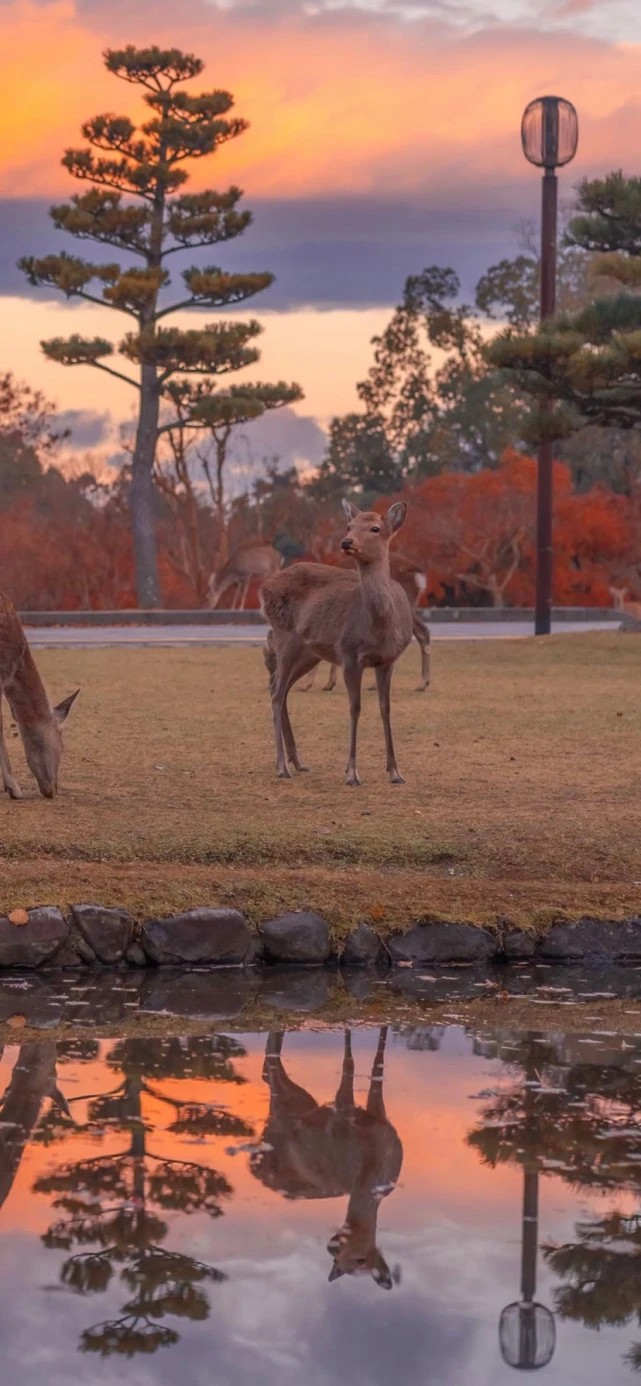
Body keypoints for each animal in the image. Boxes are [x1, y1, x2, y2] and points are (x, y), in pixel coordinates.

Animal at [249, 1031, 399, 1286]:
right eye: (337, 1262)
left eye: (361, 1260)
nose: (332, 1247)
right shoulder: (343, 1117)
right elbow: (349, 1064)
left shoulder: (376, 1115)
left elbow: (376, 1064)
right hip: (287, 1112)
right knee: (271, 1070)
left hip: (302, 1101)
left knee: (268, 1068)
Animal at [262, 501, 413, 787]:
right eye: (349, 526)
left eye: (375, 528)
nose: (346, 542)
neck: (379, 628)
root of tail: (263, 588)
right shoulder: (349, 655)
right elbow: (355, 708)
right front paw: (352, 773)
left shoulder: (388, 660)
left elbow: (385, 708)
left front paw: (395, 772)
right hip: (285, 637)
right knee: (276, 692)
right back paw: (281, 766)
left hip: (309, 652)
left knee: (281, 688)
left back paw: (297, 761)